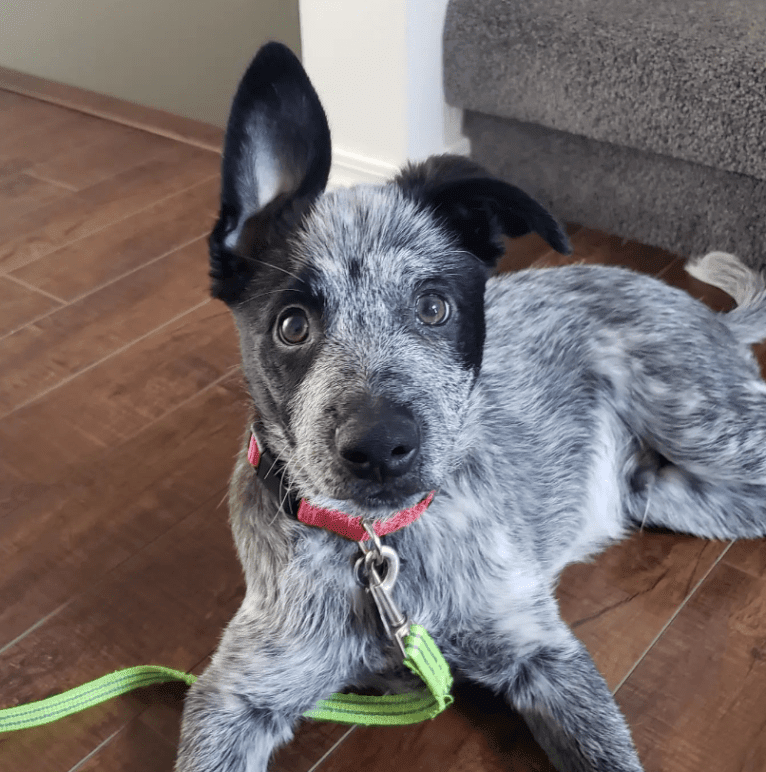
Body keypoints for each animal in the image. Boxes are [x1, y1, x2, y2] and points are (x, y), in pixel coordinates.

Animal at [177, 42, 766, 772]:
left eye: (434, 307)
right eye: (291, 326)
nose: (381, 446)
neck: (382, 550)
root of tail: (715, 319)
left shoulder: (541, 651)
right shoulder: (234, 696)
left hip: (701, 422)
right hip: (668, 491)